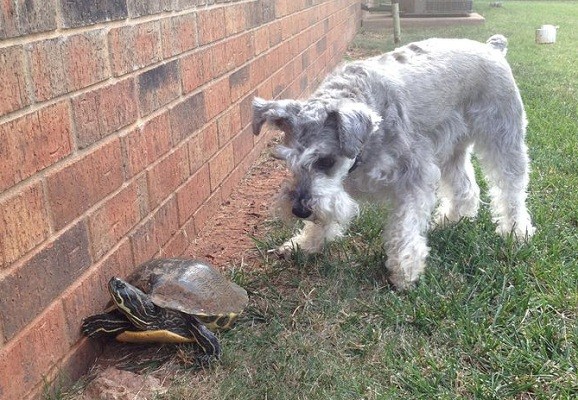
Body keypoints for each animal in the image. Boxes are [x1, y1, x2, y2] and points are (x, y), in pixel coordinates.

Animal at [250, 34, 532, 290]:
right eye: (286, 161)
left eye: (326, 160)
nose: (299, 210)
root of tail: (492, 47)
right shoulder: (337, 188)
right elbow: (326, 213)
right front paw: (304, 243)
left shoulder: (414, 176)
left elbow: (404, 227)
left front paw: (405, 271)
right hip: (451, 147)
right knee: (465, 187)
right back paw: (450, 220)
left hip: (503, 138)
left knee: (511, 190)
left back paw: (516, 231)